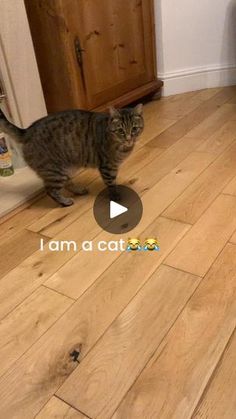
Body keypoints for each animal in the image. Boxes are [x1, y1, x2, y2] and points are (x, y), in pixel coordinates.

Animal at [0, 105, 144, 207]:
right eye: (121, 131)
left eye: (134, 129)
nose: (129, 139)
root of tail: (26, 132)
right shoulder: (107, 166)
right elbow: (111, 183)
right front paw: (115, 196)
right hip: (55, 171)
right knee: (50, 190)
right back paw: (65, 202)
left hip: (67, 168)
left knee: (66, 184)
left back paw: (79, 191)